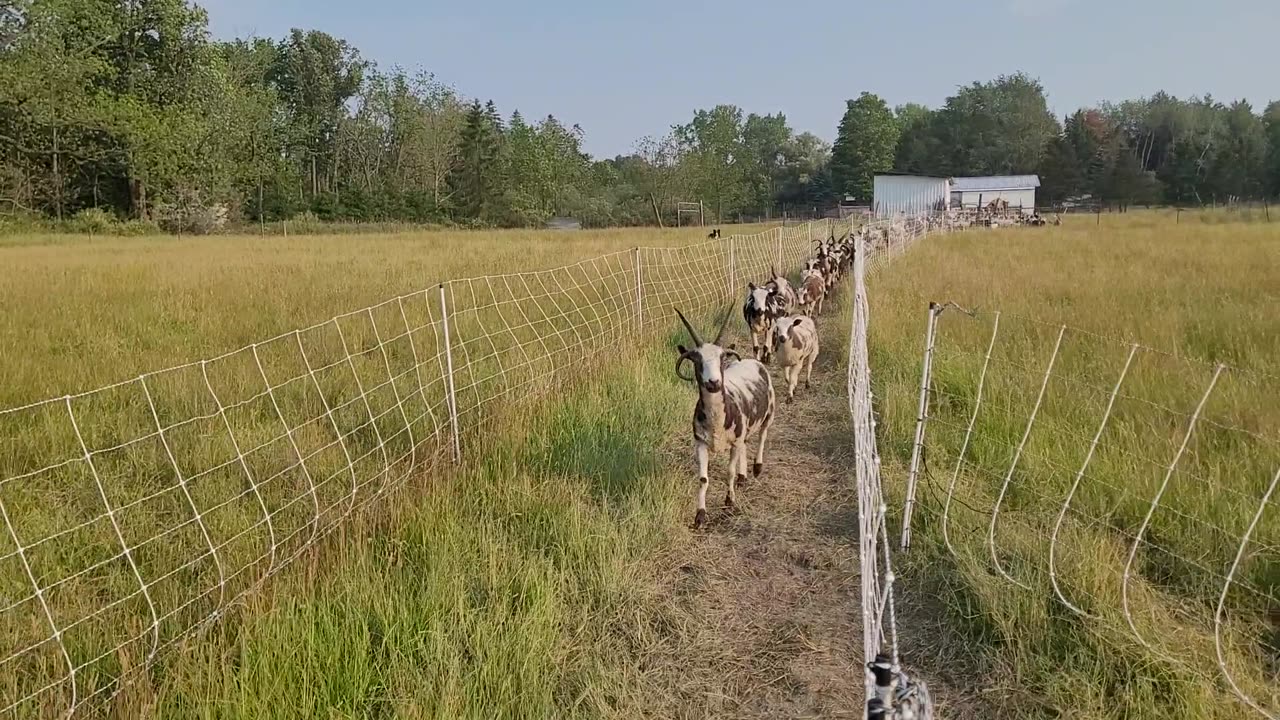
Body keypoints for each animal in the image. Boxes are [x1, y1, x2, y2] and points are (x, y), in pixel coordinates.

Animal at [675, 303, 773, 527]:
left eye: (721, 358)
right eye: (696, 360)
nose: (713, 382)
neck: (717, 420)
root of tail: (753, 361)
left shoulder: (734, 442)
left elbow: (729, 471)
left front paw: (730, 502)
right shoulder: (700, 443)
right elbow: (703, 479)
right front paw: (700, 515)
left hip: (769, 411)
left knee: (762, 435)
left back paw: (757, 468)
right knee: (746, 443)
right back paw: (743, 476)